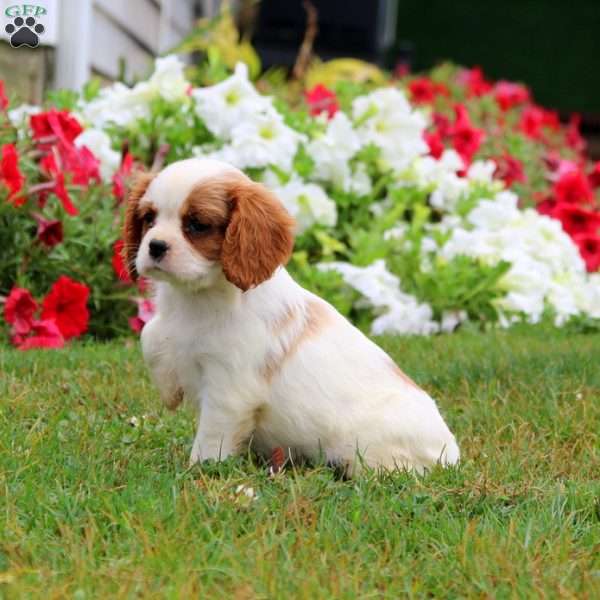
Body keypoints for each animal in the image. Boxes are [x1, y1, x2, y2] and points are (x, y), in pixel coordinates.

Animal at [123, 158, 460, 474]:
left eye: (196, 225)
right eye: (149, 219)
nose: (155, 246)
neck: (195, 298)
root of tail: (451, 453)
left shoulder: (228, 389)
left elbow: (211, 437)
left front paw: (199, 469)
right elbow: (150, 334)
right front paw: (169, 389)